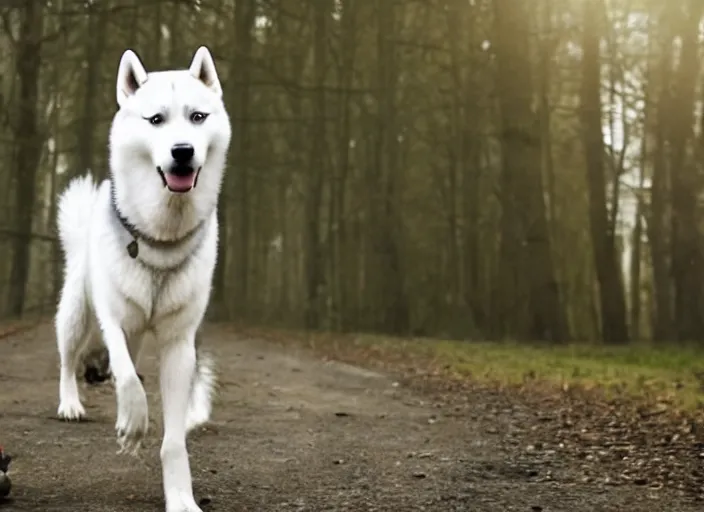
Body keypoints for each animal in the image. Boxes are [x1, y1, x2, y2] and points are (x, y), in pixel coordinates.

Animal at [55, 45, 231, 512]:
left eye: (198, 117)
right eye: (156, 120)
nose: (182, 151)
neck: (160, 237)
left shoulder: (179, 343)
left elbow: (173, 438)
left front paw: (181, 496)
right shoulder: (114, 318)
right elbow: (129, 376)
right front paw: (133, 422)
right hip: (76, 314)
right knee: (70, 359)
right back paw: (71, 402)